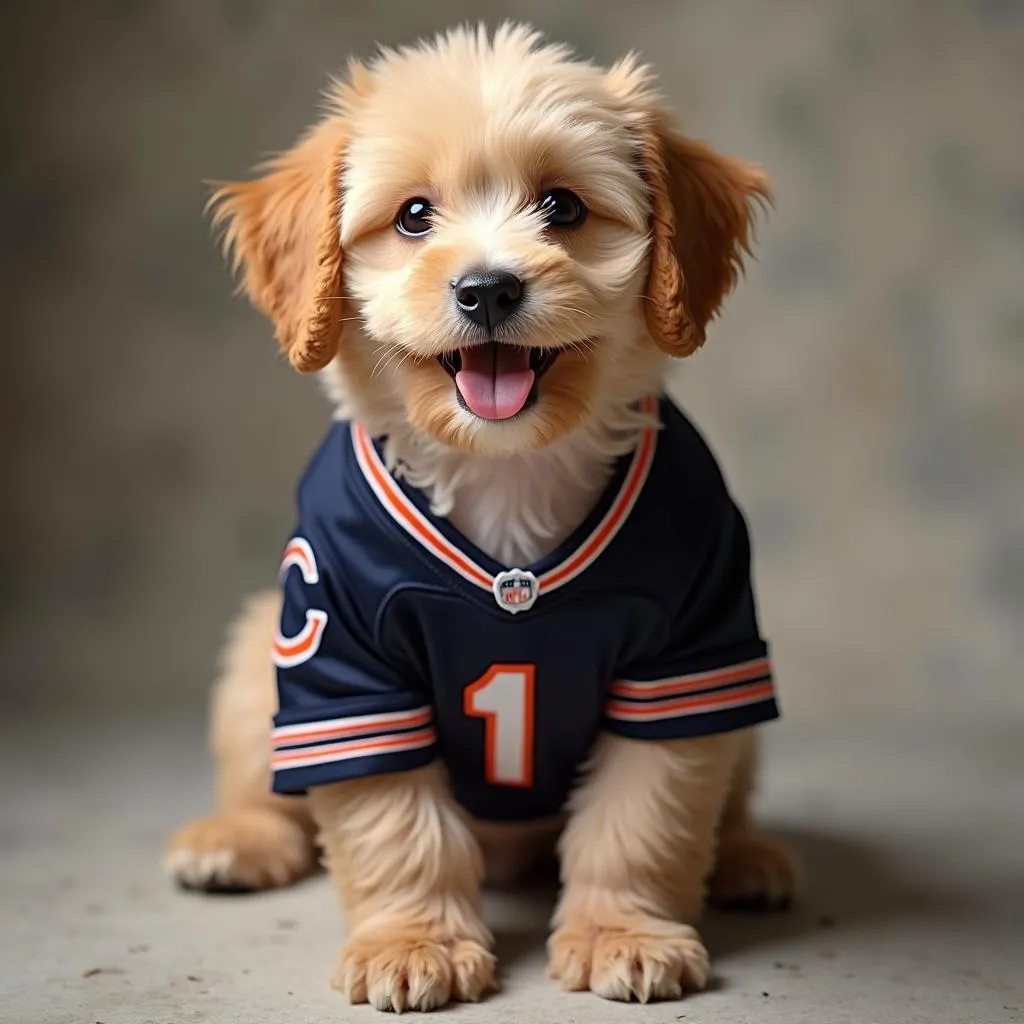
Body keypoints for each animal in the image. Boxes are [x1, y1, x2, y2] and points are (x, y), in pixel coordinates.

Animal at [163, 22, 798, 1007]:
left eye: (562, 208)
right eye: (414, 217)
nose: (489, 289)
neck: (506, 468)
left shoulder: (689, 659)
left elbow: (641, 814)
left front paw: (620, 931)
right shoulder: (345, 665)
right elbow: (396, 823)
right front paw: (413, 942)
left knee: (725, 799)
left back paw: (748, 858)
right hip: (257, 664)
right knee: (267, 784)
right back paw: (237, 838)